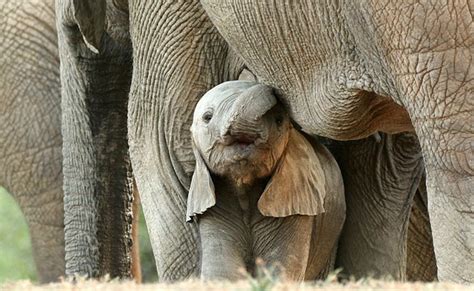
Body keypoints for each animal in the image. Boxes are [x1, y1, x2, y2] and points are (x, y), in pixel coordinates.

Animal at [187, 81, 346, 282]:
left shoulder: (296, 205)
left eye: (279, 121)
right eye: (207, 117)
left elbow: (281, 268)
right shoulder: (214, 207)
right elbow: (221, 272)